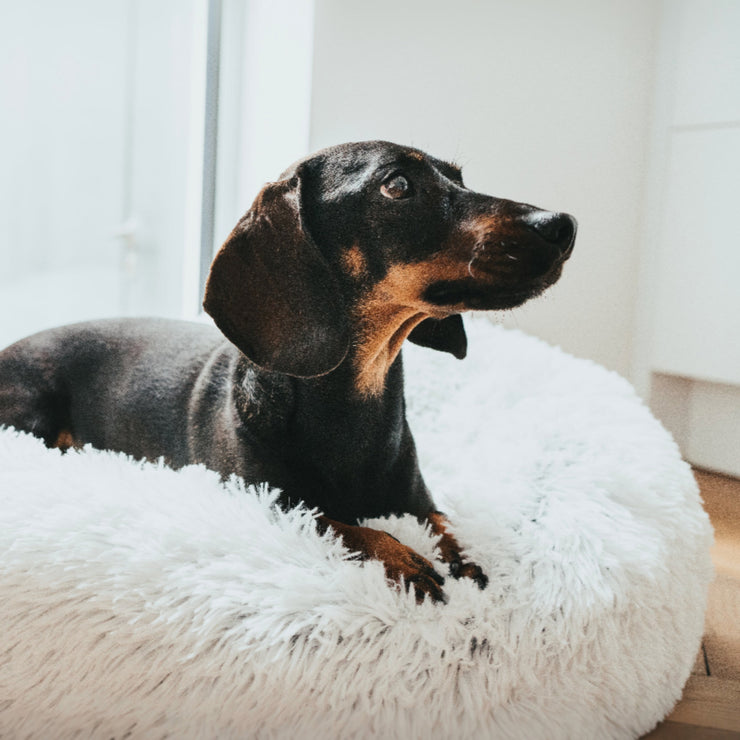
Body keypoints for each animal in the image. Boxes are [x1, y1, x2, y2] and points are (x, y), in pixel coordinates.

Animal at [0, 142, 576, 604]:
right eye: (397, 185)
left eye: (458, 178)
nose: (563, 225)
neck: (354, 407)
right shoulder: (260, 499)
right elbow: (335, 522)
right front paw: (402, 559)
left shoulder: (417, 499)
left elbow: (443, 523)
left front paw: (465, 558)